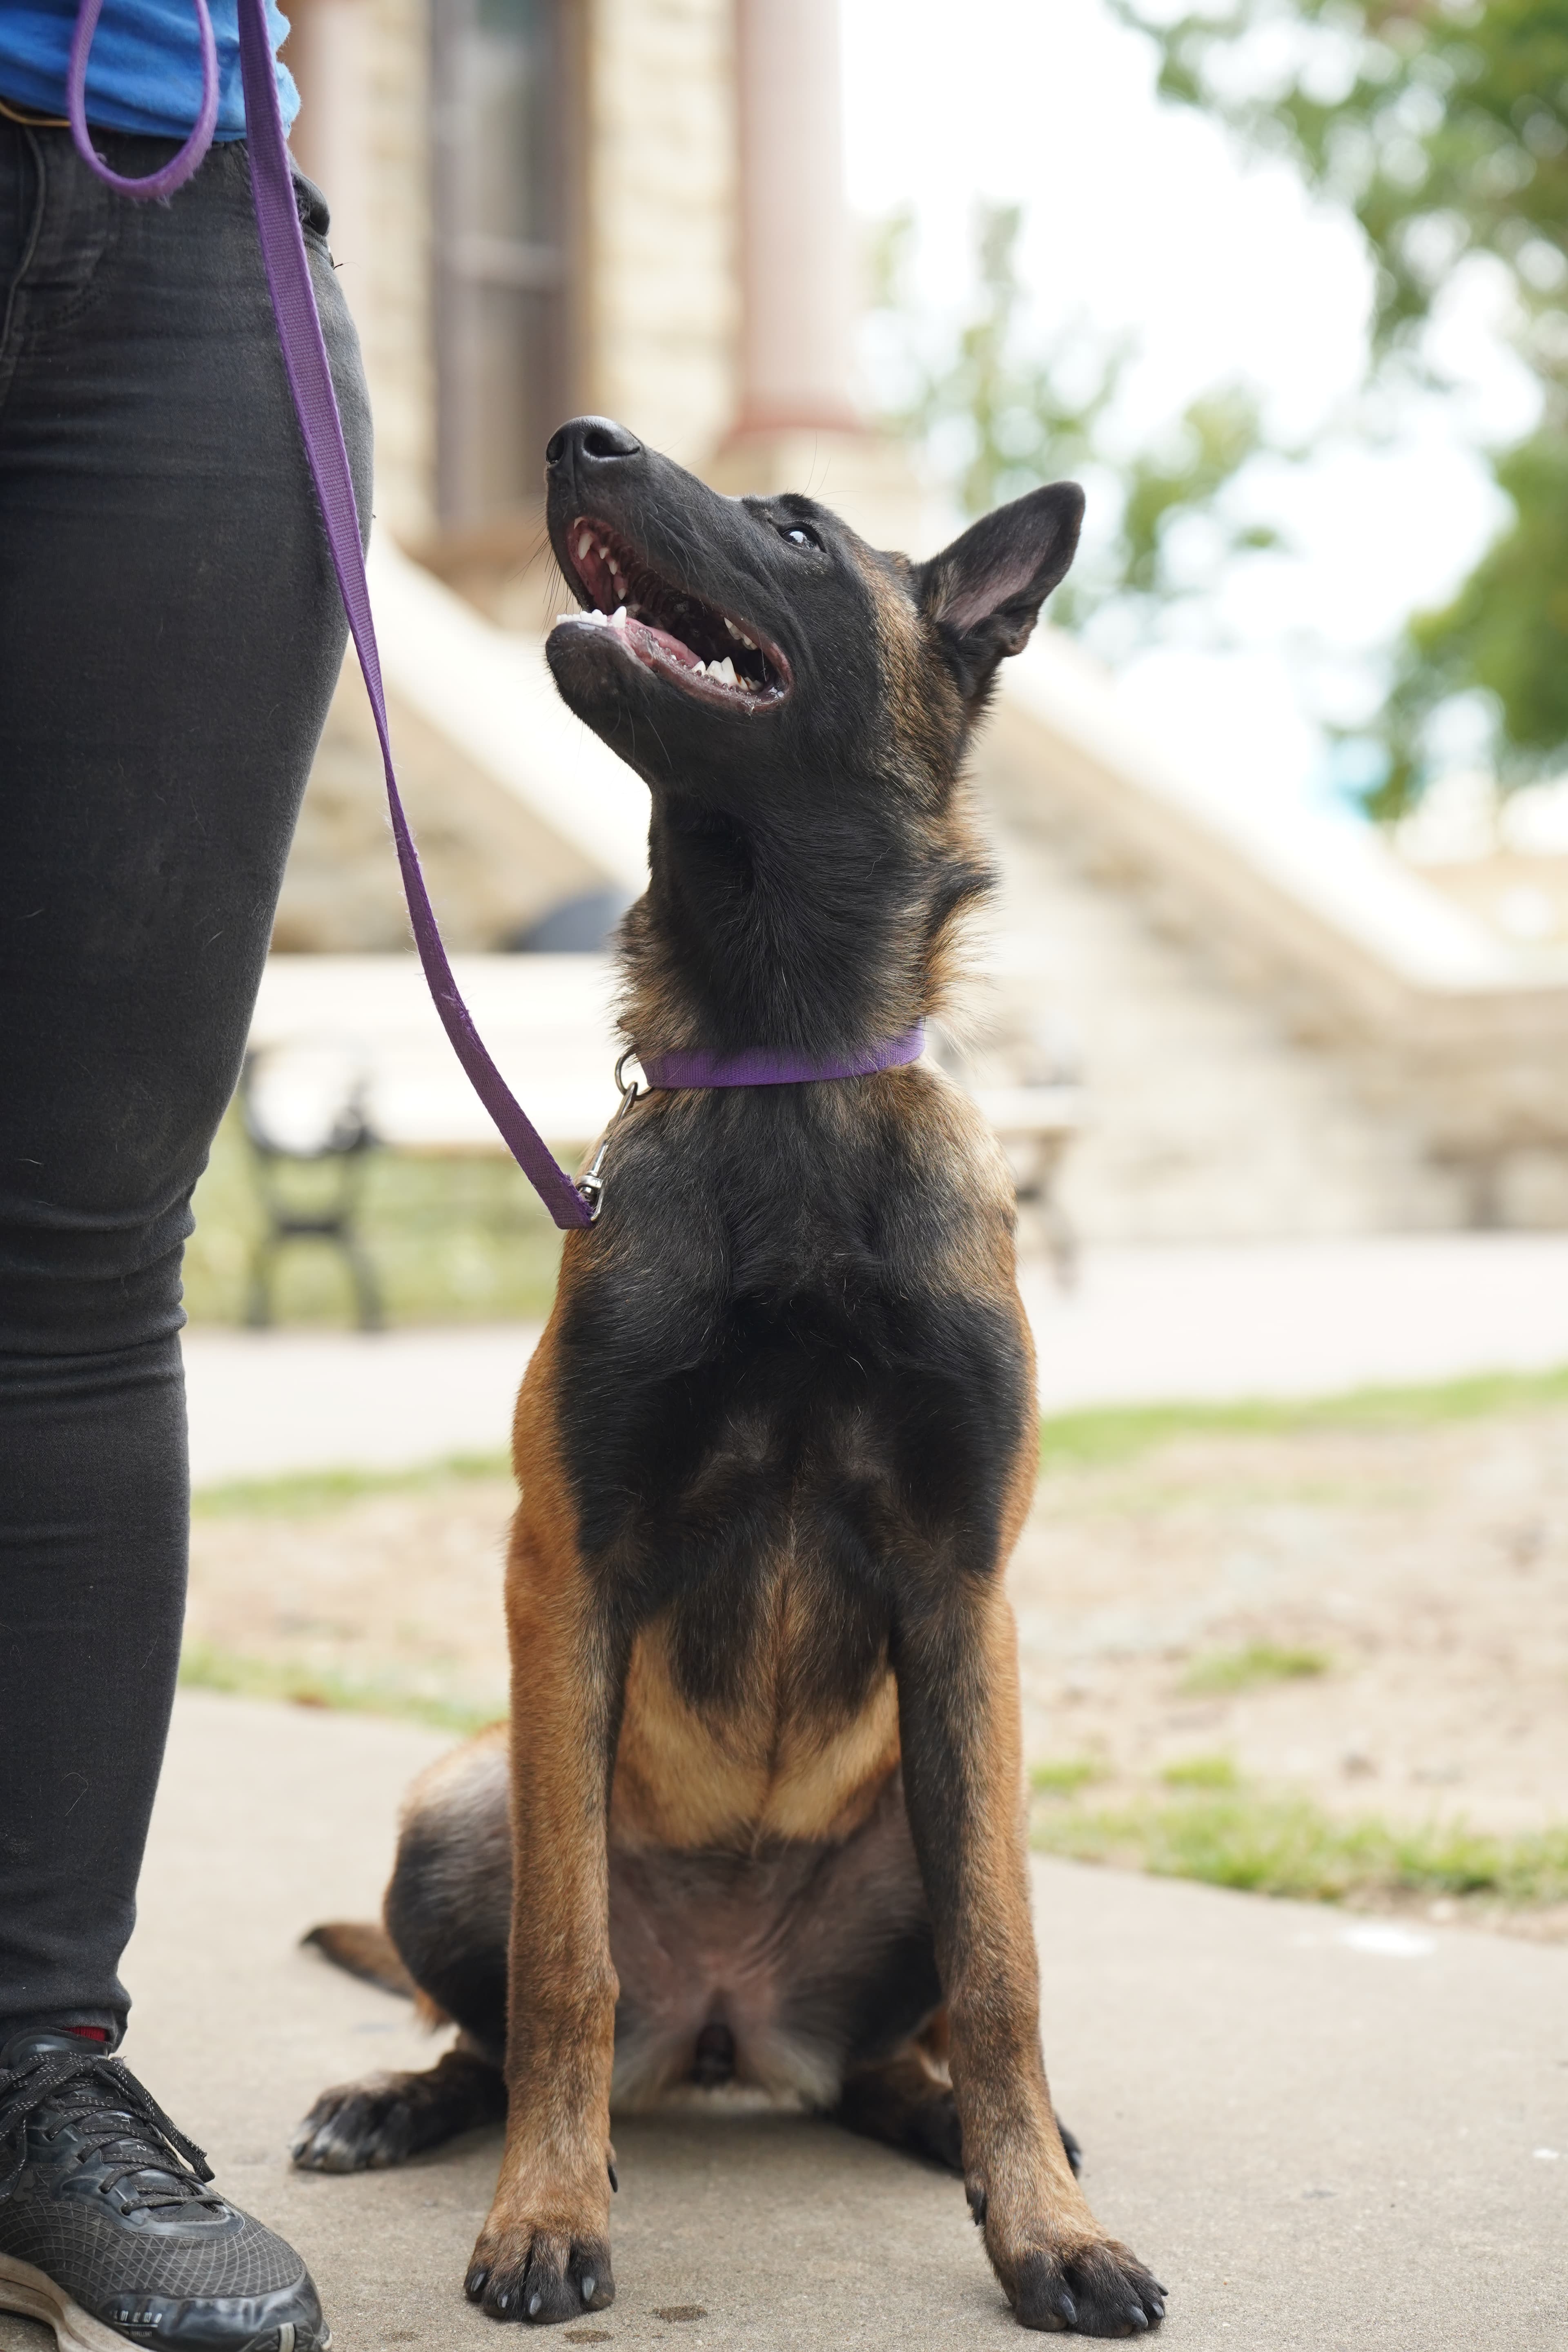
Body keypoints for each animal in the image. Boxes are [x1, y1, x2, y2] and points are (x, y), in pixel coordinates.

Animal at [291, 419, 1166, 2333]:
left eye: (798, 527)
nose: (575, 441)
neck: (783, 1070)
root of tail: (724, 2021)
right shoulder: (565, 1572)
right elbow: (563, 1965)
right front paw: (546, 2208)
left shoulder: (961, 1589)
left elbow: (1005, 1978)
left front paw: (1046, 2225)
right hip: (464, 1799)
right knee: (485, 2014)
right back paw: (402, 2098)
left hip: (942, 1805)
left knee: (918, 2029)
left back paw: (964, 2125)